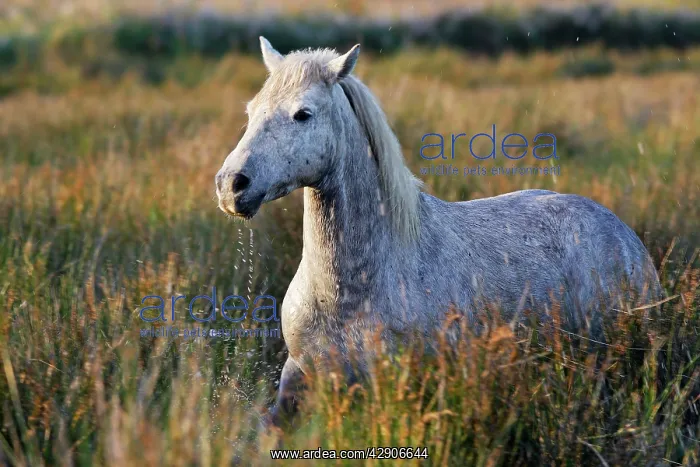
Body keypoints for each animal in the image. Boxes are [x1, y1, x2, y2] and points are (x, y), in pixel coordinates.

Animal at [215, 37, 663, 427]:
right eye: (251, 111)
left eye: (303, 114)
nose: (231, 184)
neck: (347, 290)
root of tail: (626, 236)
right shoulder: (298, 380)